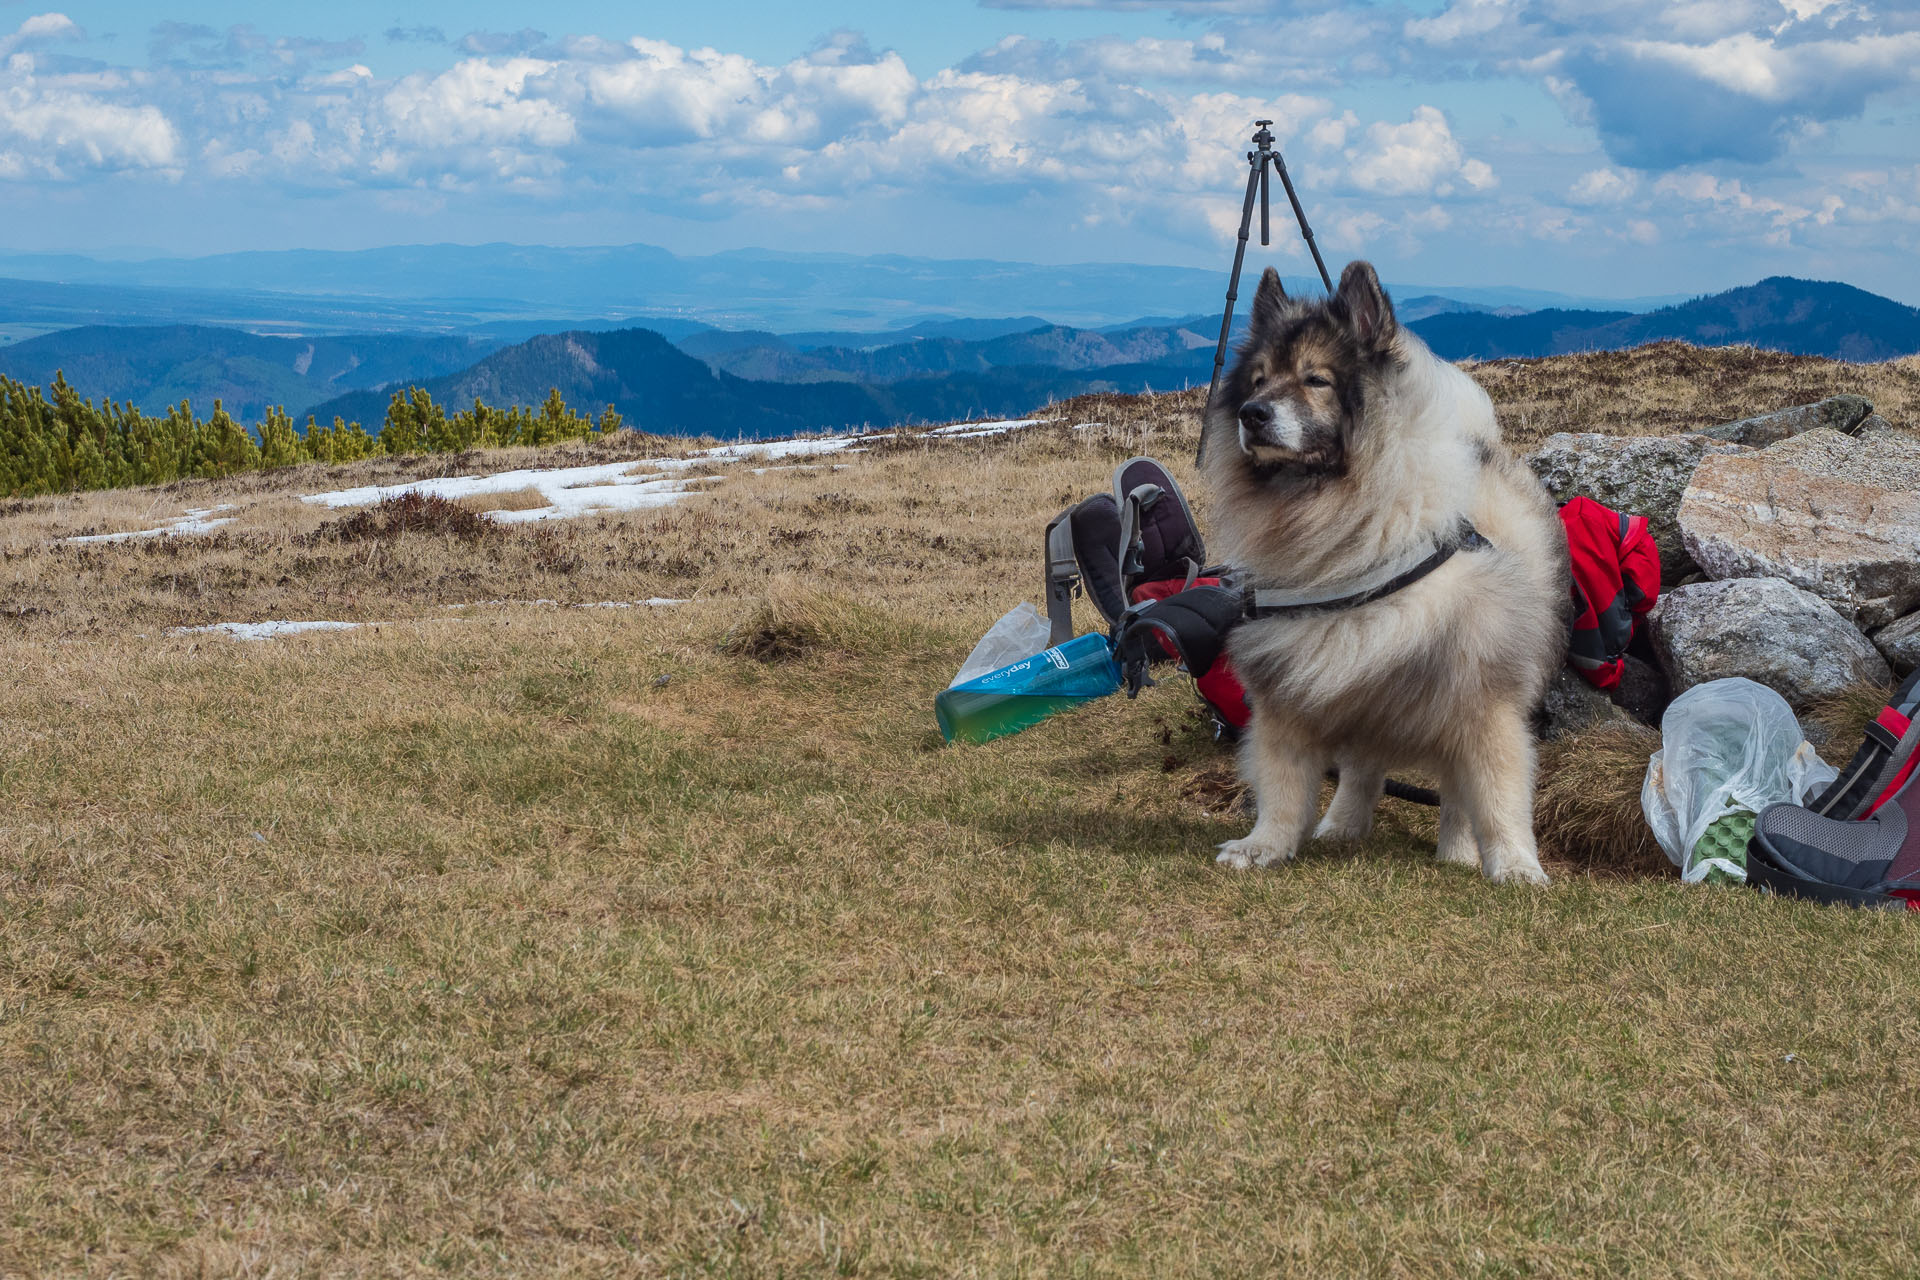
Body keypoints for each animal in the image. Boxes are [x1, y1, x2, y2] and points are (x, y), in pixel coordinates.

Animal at [1205, 260, 1566, 882]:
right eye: (1257, 381)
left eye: (1316, 380)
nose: (1253, 415)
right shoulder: (1288, 691)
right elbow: (1281, 788)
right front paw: (1263, 847)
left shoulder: (1484, 702)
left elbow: (1497, 795)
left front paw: (1516, 866)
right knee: (1363, 769)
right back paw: (1342, 825)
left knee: (1455, 790)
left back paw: (1458, 851)